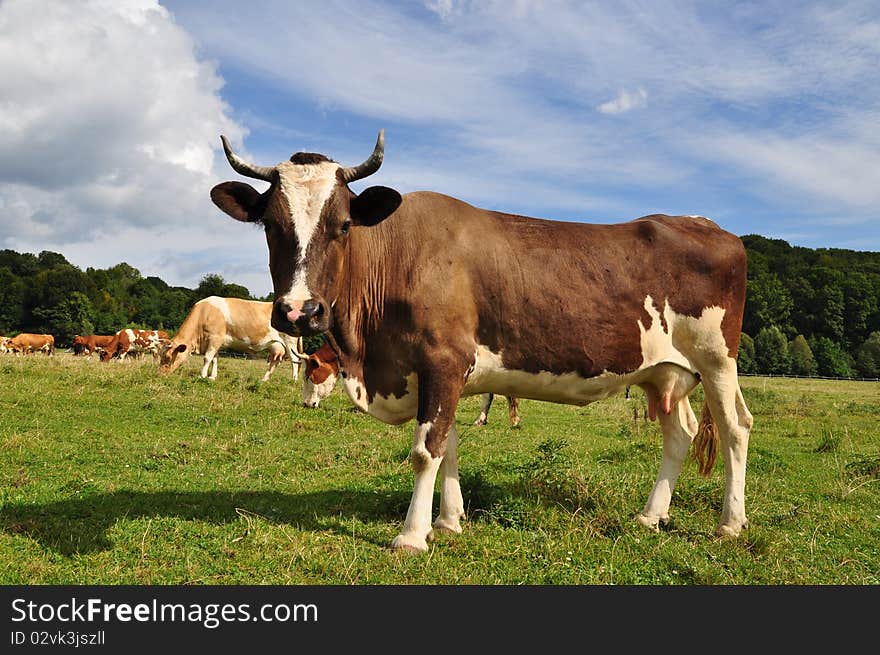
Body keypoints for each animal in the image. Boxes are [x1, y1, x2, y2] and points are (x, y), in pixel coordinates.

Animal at [157, 294, 306, 382]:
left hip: (289, 342)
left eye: (168, 358)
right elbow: (215, 359)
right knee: (274, 362)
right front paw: (212, 376)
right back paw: (264, 379)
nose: (160, 374)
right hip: (276, 346)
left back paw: (293, 380)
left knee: (295, 361)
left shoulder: (215, 337)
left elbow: (207, 358)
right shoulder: (217, 342)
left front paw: (203, 375)